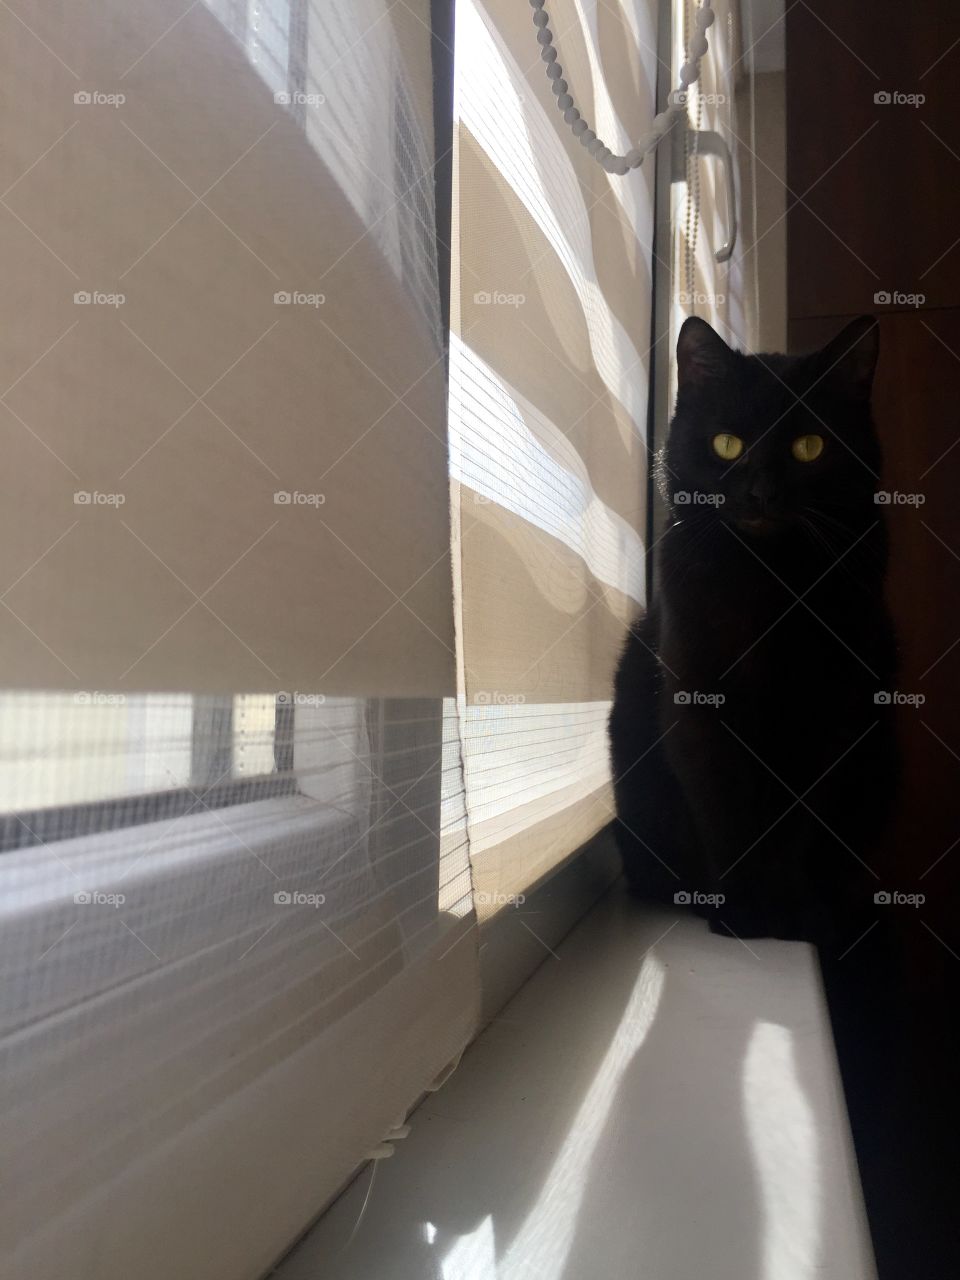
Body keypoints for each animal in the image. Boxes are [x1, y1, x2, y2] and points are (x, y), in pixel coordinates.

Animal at [611, 320, 901, 942]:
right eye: (728, 444)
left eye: (809, 446)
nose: (761, 494)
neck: (769, 581)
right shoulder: (699, 708)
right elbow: (724, 813)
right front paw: (741, 916)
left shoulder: (832, 716)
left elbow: (800, 826)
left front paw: (790, 918)